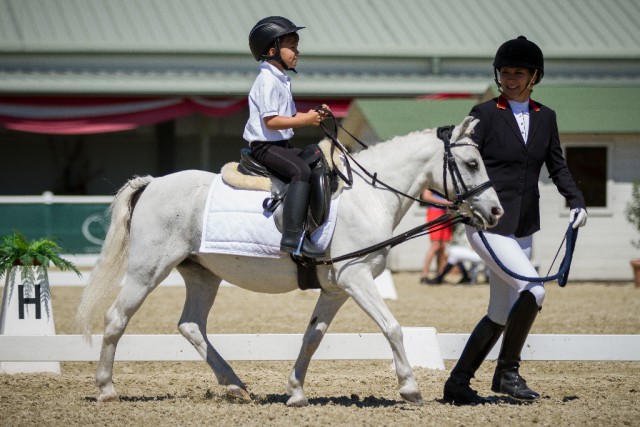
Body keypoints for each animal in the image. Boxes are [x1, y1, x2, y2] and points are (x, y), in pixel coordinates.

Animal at [75, 116, 502, 408]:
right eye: (471, 163)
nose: (496, 212)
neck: (369, 196)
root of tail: (152, 183)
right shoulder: (356, 279)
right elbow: (392, 328)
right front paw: (410, 388)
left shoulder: (336, 289)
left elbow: (312, 337)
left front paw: (295, 392)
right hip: (147, 271)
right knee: (116, 319)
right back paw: (106, 389)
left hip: (202, 275)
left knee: (191, 325)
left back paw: (235, 386)